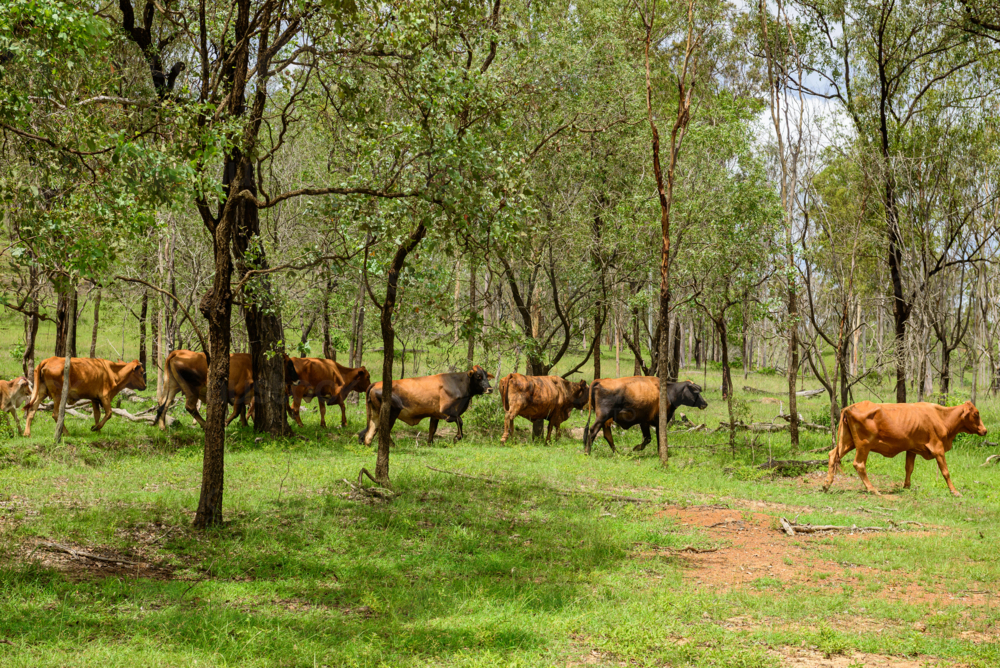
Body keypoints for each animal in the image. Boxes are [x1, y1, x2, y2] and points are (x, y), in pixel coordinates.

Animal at [154, 350, 299, 430]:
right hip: (192, 389)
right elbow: (237, 411)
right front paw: (225, 423)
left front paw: (245, 425)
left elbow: (242, 410)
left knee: (163, 403)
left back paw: (162, 426)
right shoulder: (240, 392)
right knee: (189, 407)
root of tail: (177, 353)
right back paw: (205, 425)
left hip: (172, 386)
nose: (297, 379)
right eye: (289, 364)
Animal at [359, 366, 494, 445]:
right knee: (384, 430)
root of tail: (376, 383)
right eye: (478, 376)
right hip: (392, 412)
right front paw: (457, 437)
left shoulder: (435, 415)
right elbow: (459, 421)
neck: (458, 383)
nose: (490, 389)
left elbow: (432, 430)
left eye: (487, 377)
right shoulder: (446, 412)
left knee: (370, 432)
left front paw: (430, 443)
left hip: (375, 414)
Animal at [822, 400, 987, 497]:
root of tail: (849, 407)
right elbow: (945, 472)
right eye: (976, 414)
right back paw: (873, 489)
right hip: (864, 445)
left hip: (847, 442)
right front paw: (955, 491)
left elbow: (909, 468)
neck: (941, 417)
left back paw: (826, 485)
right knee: (859, 464)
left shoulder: (912, 449)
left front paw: (907, 486)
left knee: (832, 455)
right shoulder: (938, 449)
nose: (985, 430)